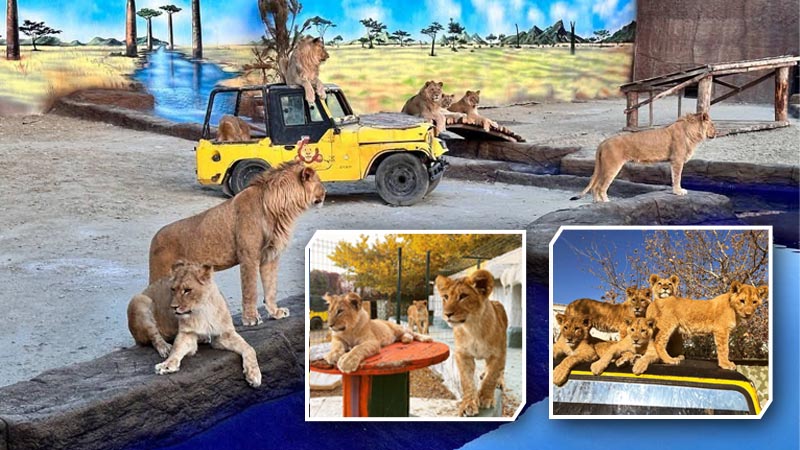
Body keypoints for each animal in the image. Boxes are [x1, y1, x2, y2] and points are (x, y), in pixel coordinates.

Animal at [127, 261, 261, 387]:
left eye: (187, 290)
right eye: (173, 289)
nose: (173, 307)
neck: (202, 310)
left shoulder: (224, 334)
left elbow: (249, 348)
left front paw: (254, 375)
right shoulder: (187, 334)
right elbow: (176, 349)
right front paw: (167, 365)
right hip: (139, 300)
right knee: (154, 336)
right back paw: (165, 347)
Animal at [149, 161, 326, 326]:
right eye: (319, 181)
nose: (325, 193)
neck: (279, 209)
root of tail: (155, 236)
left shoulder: (270, 256)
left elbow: (271, 288)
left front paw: (275, 313)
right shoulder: (249, 256)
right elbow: (250, 290)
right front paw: (251, 319)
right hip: (161, 276)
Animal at [436, 269, 508, 416]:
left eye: (463, 296)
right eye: (445, 297)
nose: (447, 314)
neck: (472, 328)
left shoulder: (498, 354)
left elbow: (492, 376)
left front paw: (485, 398)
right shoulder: (463, 355)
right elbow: (467, 381)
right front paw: (468, 404)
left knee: (501, 369)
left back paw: (499, 381)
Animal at [571, 112, 717, 203]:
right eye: (712, 125)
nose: (717, 133)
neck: (693, 133)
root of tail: (603, 142)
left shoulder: (673, 161)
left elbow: (673, 177)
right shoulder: (677, 160)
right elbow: (677, 177)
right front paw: (679, 192)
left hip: (603, 167)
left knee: (595, 186)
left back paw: (598, 203)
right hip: (611, 167)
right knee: (601, 187)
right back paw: (607, 202)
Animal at [635, 281, 768, 373]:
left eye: (754, 302)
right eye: (742, 301)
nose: (748, 314)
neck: (734, 310)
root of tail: (654, 302)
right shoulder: (721, 330)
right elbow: (724, 349)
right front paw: (726, 364)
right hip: (666, 325)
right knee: (659, 342)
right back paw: (670, 360)